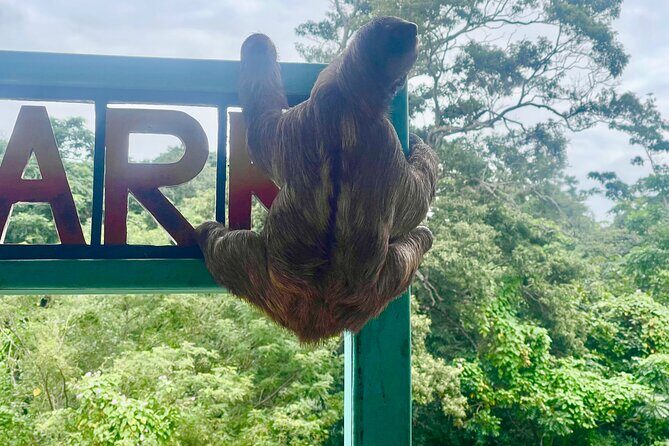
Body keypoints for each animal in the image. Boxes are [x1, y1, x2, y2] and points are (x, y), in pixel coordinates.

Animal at [197, 16, 439, 342]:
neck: (346, 100)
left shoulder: (306, 125)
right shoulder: (365, 136)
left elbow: (262, 126)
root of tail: (315, 319)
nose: (411, 28)